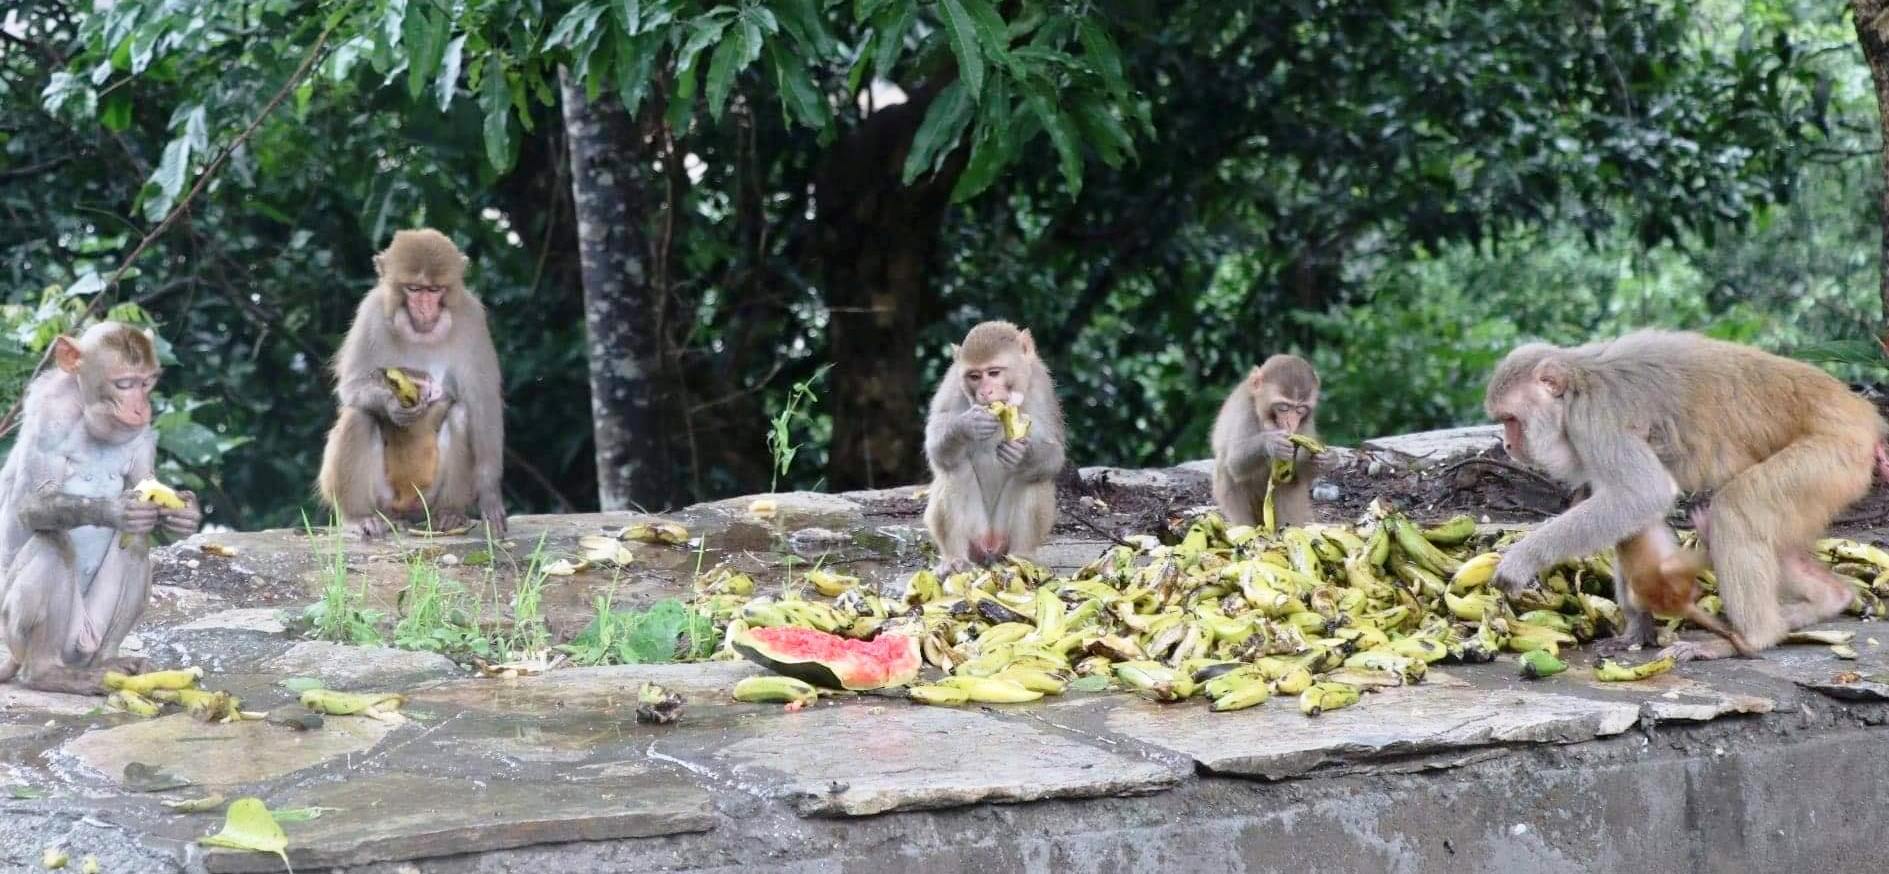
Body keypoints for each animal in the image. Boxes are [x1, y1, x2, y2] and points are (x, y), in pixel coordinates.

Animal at [0, 324, 202, 694]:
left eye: (147, 383)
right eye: (123, 384)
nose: (140, 408)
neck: (86, 412)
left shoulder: (142, 434)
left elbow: (144, 481)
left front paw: (185, 514)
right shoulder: (50, 414)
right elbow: (31, 505)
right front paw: (116, 510)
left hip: (86, 635)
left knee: (136, 542)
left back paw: (109, 662)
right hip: (16, 632)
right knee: (52, 541)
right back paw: (46, 673)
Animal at [319, 229, 510, 536]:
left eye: (434, 291)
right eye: (413, 289)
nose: (424, 308)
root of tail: (406, 508)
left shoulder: (472, 318)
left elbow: (483, 402)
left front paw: (490, 494)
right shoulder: (370, 312)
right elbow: (351, 386)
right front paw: (392, 406)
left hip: (427, 497)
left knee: (460, 415)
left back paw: (450, 513)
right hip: (383, 497)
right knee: (358, 416)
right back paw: (358, 517)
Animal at [925, 319, 1072, 573]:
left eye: (993, 373)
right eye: (974, 376)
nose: (985, 392)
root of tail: (991, 544)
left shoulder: (1041, 386)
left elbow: (1053, 451)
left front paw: (1023, 455)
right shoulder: (953, 383)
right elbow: (935, 441)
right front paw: (967, 425)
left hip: (1004, 536)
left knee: (1032, 477)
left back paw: (1022, 558)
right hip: (976, 533)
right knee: (954, 470)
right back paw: (955, 559)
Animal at [1208, 354, 1329, 528]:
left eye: (1300, 410)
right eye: (1283, 407)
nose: (1290, 423)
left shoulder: (1306, 422)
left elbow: (1299, 472)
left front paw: (1325, 459)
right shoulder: (1245, 409)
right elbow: (1234, 463)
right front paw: (1271, 443)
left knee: (1288, 481)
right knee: (1225, 467)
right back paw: (1245, 527)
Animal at [1480, 332, 1881, 660]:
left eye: (1511, 420)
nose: (1507, 445)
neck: (1577, 385)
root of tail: (1863, 413)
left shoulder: (1595, 421)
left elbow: (1643, 494)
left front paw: (1521, 559)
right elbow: (1631, 512)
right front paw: (1637, 628)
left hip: (1830, 455)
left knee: (1736, 509)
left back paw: (1751, 638)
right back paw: (1829, 598)